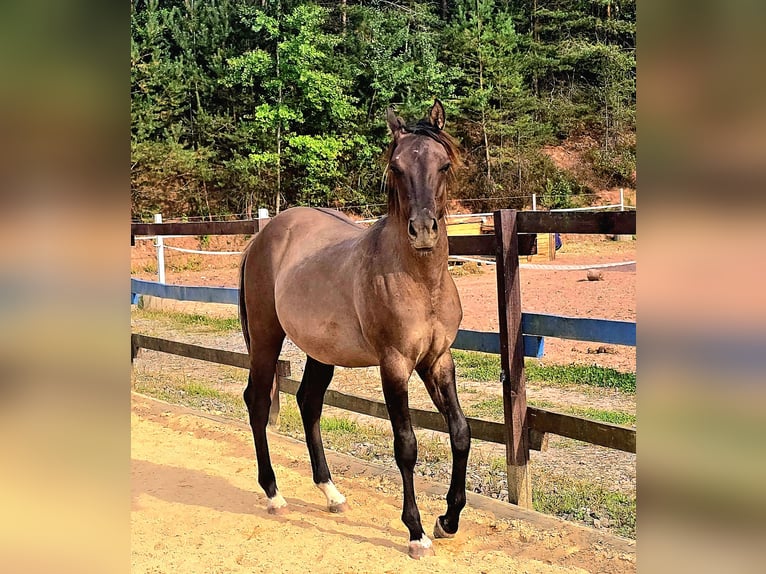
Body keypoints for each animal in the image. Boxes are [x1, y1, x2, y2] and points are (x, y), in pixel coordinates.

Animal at [239, 100, 471, 559]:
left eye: (444, 164)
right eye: (397, 167)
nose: (423, 231)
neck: (421, 281)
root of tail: (264, 236)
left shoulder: (438, 360)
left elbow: (460, 434)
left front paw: (448, 520)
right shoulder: (394, 366)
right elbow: (406, 446)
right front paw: (415, 531)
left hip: (320, 352)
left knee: (309, 403)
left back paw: (332, 493)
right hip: (266, 338)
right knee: (257, 402)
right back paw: (273, 494)